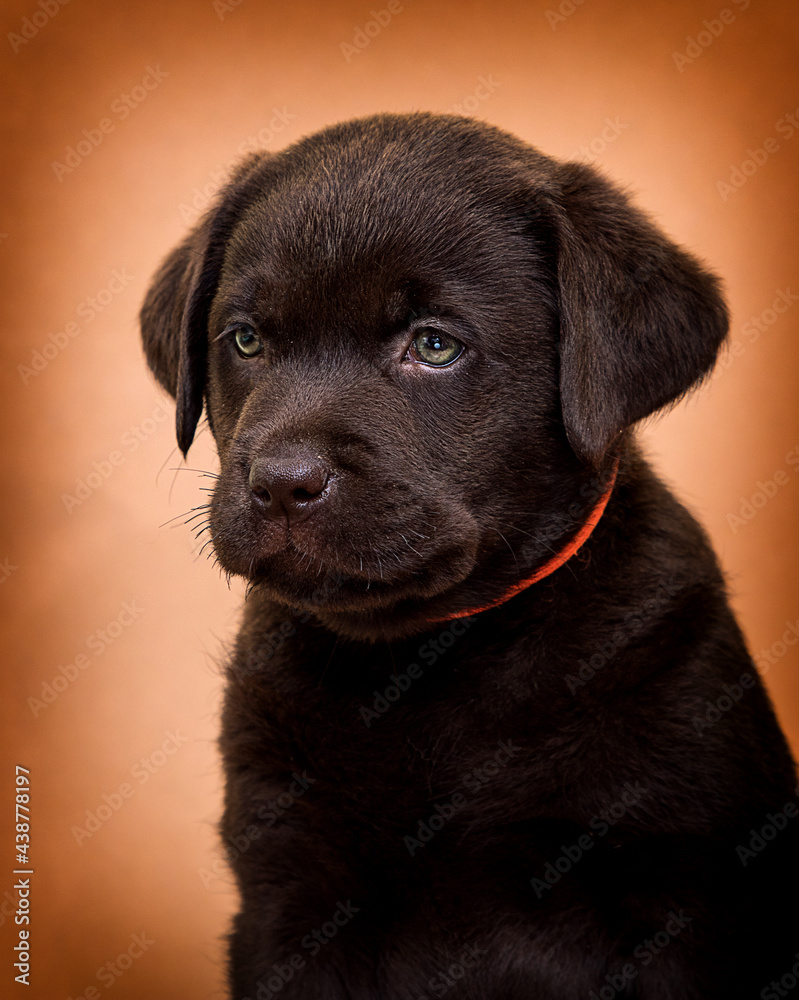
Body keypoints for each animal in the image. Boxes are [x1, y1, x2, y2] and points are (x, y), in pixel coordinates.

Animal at [141, 113, 796, 996]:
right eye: (244, 340)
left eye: (435, 346)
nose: (280, 483)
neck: (433, 654)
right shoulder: (289, 885)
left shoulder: (683, 895)